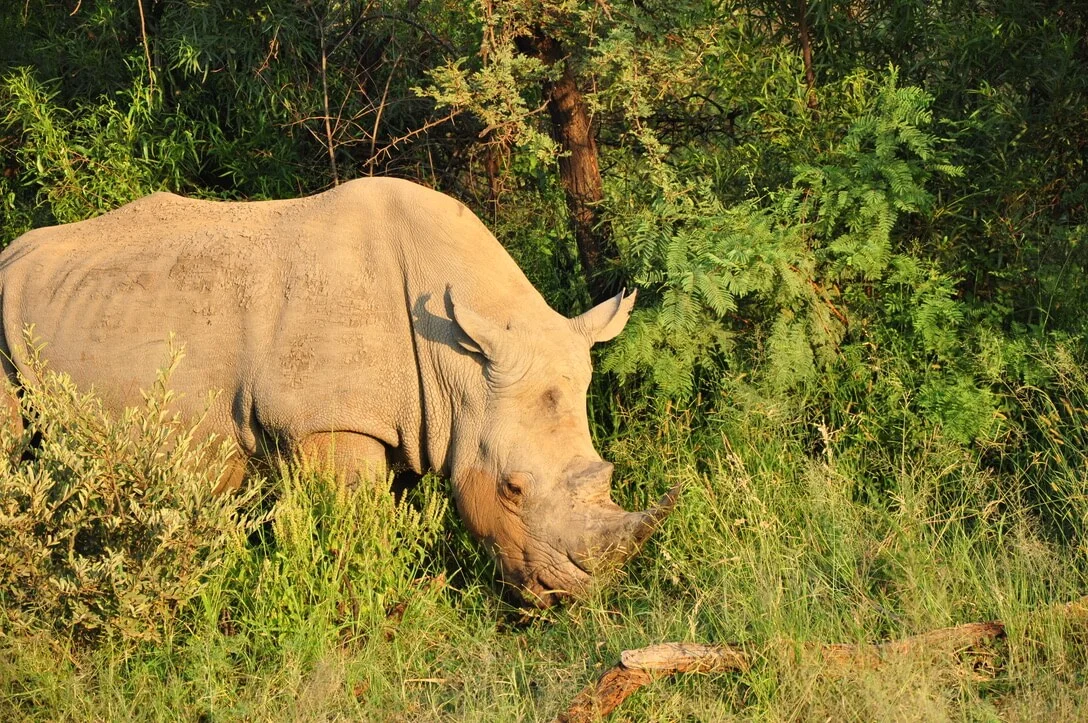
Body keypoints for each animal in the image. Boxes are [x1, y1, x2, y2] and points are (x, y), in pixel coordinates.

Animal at [0, 177, 676, 606]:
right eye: (511, 489)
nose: (575, 593)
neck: (460, 365)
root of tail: (14, 250)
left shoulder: (407, 417)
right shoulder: (333, 420)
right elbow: (355, 524)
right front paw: (366, 596)